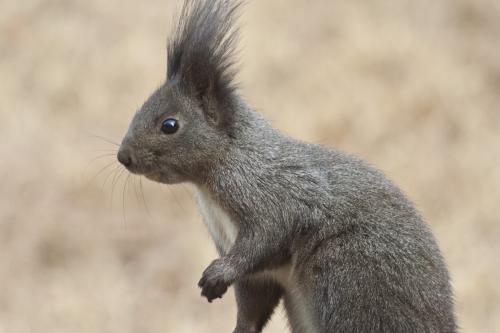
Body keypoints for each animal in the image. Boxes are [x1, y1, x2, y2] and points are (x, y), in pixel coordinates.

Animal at [117, 1, 458, 330]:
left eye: (170, 125)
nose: (123, 157)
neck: (222, 164)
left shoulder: (274, 196)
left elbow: (267, 236)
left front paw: (218, 274)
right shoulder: (254, 272)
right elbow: (253, 303)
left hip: (347, 275)